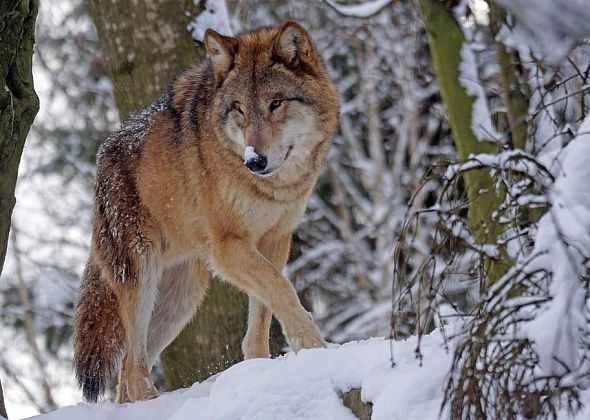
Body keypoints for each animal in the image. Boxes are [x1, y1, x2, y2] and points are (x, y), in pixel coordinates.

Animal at [73, 22, 340, 404]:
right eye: (239, 109)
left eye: (275, 103)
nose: (254, 161)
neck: (274, 188)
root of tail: (102, 157)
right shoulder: (229, 247)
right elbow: (283, 290)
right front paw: (314, 347)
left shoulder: (275, 241)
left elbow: (263, 312)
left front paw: (261, 369)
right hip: (142, 277)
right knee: (134, 367)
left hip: (181, 299)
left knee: (127, 370)